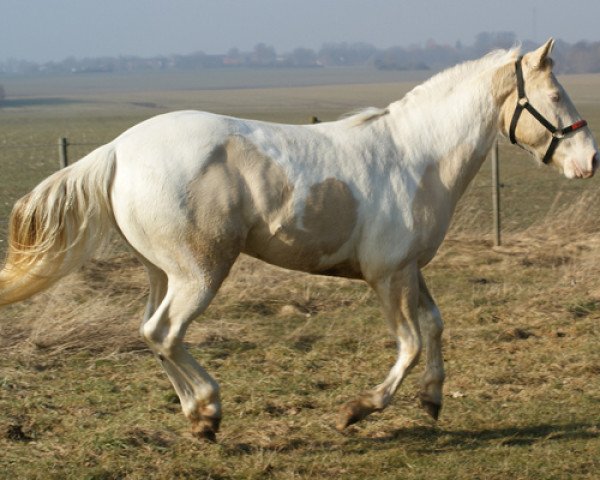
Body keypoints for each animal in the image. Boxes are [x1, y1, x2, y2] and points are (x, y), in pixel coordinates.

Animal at [0, 39, 596, 440]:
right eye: (555, 94)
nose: (589, 160)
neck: (416, 156)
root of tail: (119, 150)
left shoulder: (409, 270)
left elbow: (434, 325)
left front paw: (432, 401)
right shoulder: (387, 275)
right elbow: (408, 342)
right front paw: (357, 410)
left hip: (161, 271)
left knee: (149, 330)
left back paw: (197, 416)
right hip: (199, 273)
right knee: (163, 331)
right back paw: (208, 411)